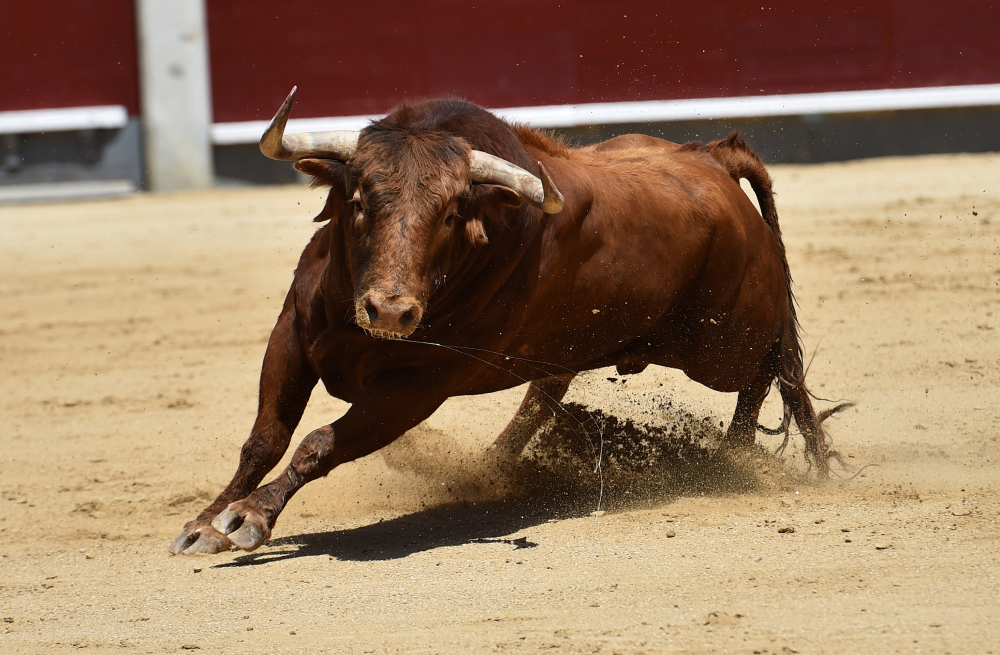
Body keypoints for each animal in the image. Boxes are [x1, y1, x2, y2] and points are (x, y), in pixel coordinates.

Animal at [172, 87, 844, 556]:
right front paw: (207, 522)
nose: (391, 311)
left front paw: (250, 518)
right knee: (547, 393)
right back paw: (491, 467)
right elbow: (265, 438)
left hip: (725, 341)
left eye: (450, 214)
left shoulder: (416, 387)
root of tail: (712, 159)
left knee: (769, 371)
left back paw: (730, 459)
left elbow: (317, 443)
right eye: (359, 199)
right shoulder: (291, 333)